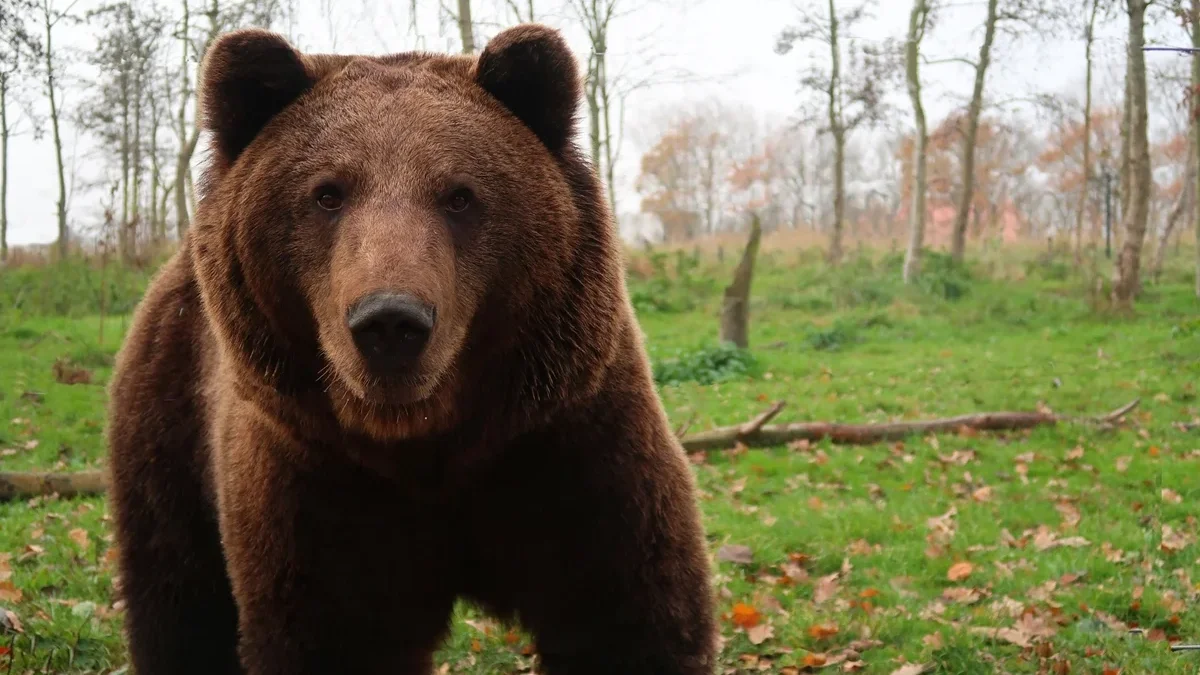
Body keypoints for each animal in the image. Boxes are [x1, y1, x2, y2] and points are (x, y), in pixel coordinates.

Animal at [103, 21, 715, 672]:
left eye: (460, 195)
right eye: (327, 193)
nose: (390, 322)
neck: (426, 446)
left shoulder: (566, 448)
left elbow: (631, 617)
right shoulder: (319, 491)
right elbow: (332, 636)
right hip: (170, 423)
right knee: (178, 598)